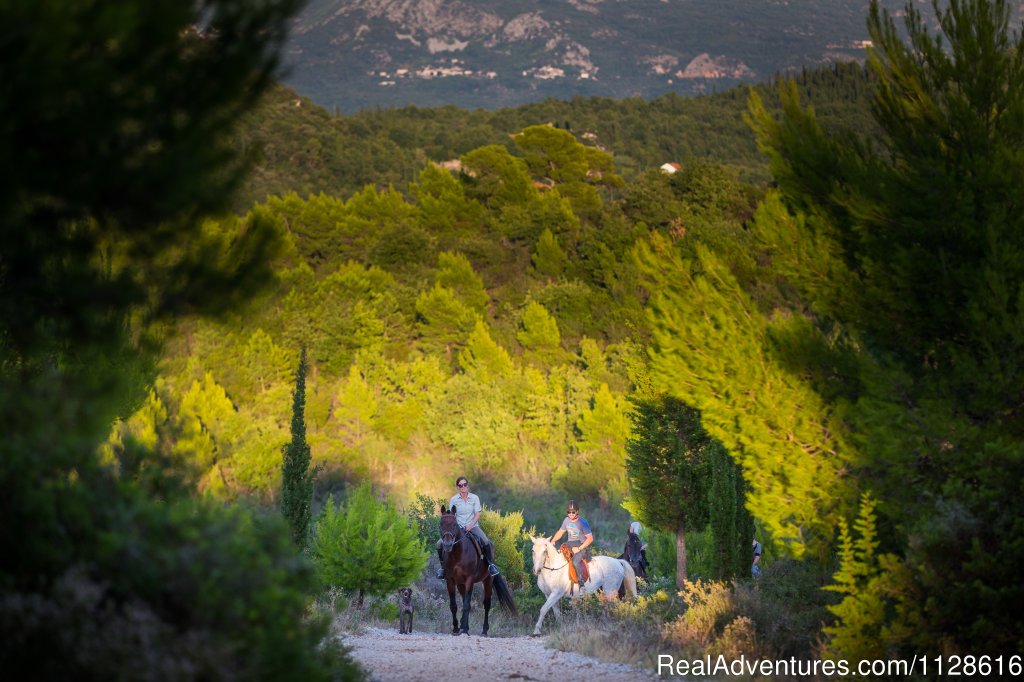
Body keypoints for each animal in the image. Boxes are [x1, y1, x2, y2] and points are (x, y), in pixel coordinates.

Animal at [436, 501, 516, 634]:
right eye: (441, 524)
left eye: (454, 524)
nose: (447, 545)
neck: (457, 553)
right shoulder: (450, 580)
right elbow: (454, 605)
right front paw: (457, 628)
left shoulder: (470, 579)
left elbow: (467, 605)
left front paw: (464, 629)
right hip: (460, 583)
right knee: (464, 599)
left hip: (488, 580)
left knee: (487, 604)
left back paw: (484, 630)